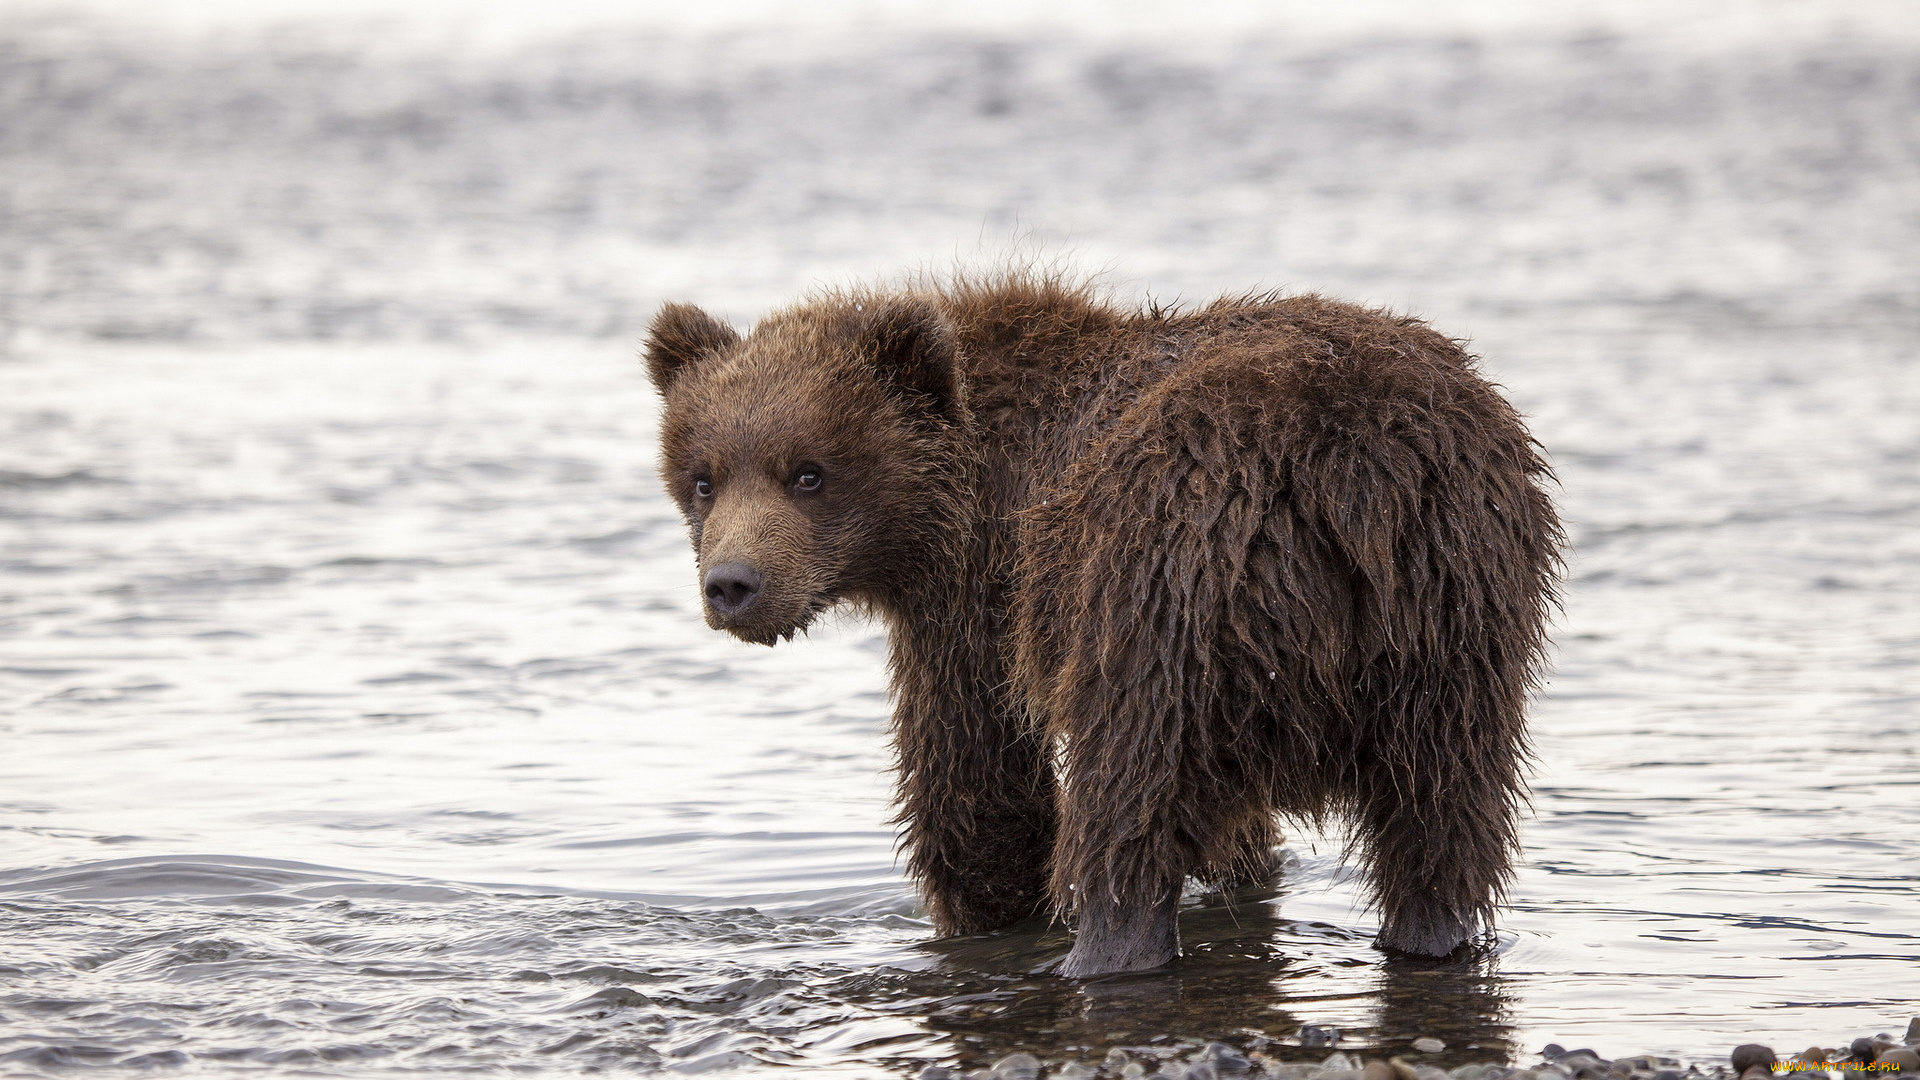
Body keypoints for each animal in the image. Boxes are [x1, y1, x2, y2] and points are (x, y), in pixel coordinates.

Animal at [645, 270, 1559, 976]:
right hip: (1456, 616)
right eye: (703, 477)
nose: (733, 584)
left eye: (809, 473)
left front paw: (987, 909)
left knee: (1127, 789)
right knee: (1443, 814)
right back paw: (1432, 933)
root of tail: (1348, 473)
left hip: (1160, 586)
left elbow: (977, 777)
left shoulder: (985, 594)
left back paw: (1100, 950)